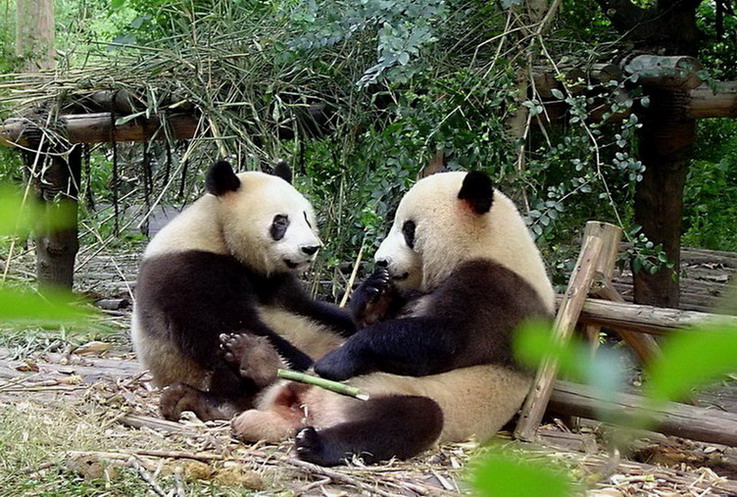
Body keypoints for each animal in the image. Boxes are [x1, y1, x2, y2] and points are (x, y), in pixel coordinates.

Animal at [131, 161, 358, 420]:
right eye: (281, 221)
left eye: (306, 218)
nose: (310, 248)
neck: (217, 232)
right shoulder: (188, 272)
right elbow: (226, 324)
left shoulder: (274, 282)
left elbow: (311, 309)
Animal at [230, 170, 552, 464]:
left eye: (409, 229)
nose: (381, 261)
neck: (491, 245)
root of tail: (305, 409)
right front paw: (374, 290)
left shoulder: (500, 296)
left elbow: (439, 340)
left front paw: (334, 362)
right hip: (293, 385)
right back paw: (252, 356)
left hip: (389, 398)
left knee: (411, 420)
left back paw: (315, 443)